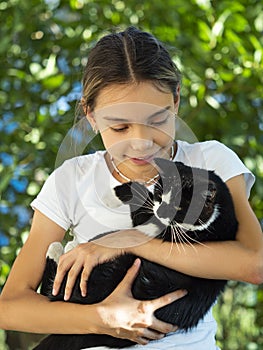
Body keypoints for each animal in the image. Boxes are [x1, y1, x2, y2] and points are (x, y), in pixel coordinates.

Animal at [34, 159, 239, 350]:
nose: (161, 212)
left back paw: (62, 249)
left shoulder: (159, 230)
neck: (219, 218)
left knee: (55, 291)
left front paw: (110, 197)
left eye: (179, 208)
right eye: (160, 195)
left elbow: (140, 204)